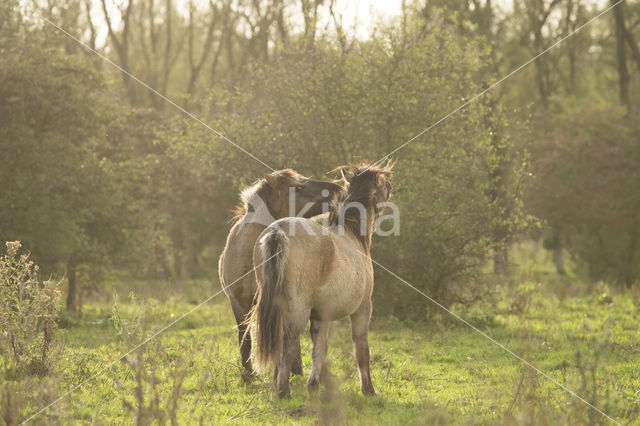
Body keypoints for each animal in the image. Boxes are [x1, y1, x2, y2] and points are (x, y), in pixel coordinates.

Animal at [249, 162, 390, 396]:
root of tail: (278, 232)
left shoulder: (321, 315)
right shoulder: (363, 308)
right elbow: (361, 348)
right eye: (382, 184)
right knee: (289, 340)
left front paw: (314, 385)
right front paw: (368, 389)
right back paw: (283, 390)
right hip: (299, 308)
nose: (391, 188)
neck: (353, 236)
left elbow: (320, 348)